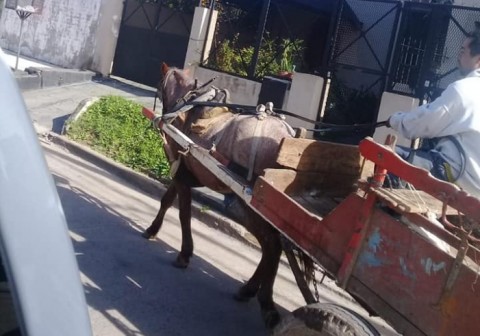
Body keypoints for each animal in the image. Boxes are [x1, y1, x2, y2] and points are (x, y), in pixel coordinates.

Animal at [142, 63, 312, 328]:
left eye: (160, 83)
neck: (190, 102)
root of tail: (288, 136)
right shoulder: (183, 171)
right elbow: (167, 200)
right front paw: (153, 229)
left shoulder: (181, 173)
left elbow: (182, 213)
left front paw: (184, 254)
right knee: (270, 247)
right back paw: (248, 290)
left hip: (250, 204)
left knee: (272, 246)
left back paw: (266, 303)